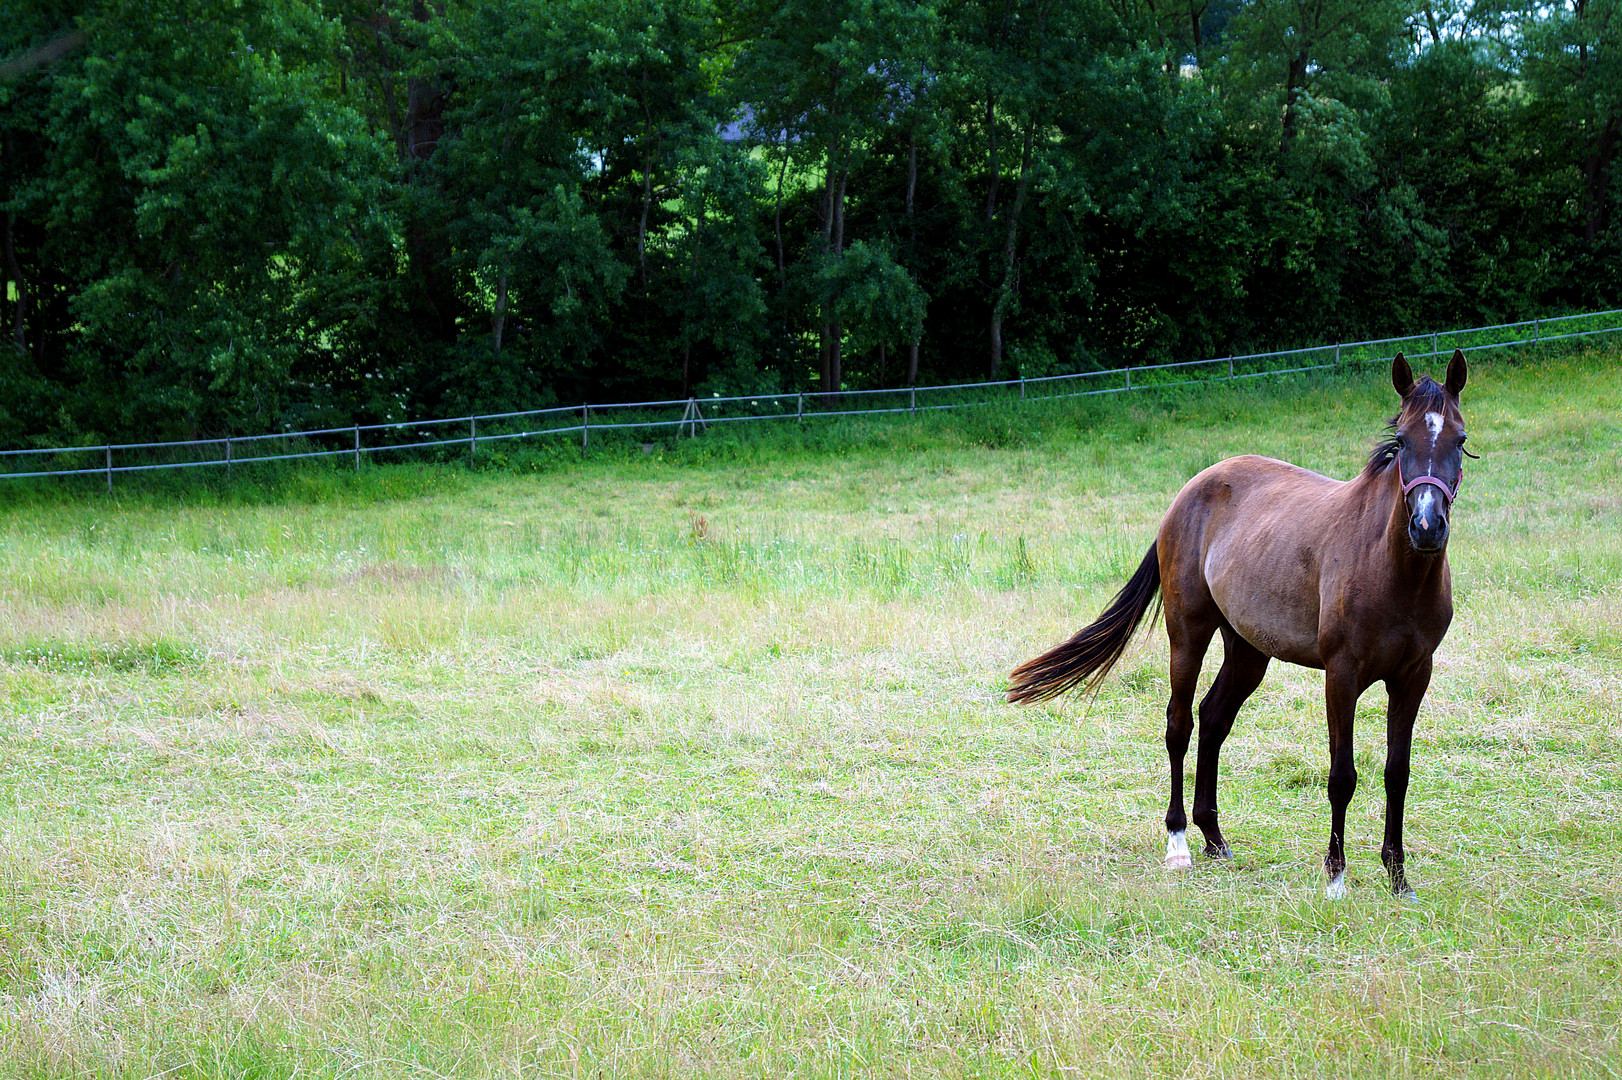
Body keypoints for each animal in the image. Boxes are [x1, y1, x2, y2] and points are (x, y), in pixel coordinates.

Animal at [1005, 351, 1479, 888]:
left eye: (1460, 439)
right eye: (1401, 441)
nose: (1427, 526)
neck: (1392, 570)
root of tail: (1188, 493)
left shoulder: (1413, 676)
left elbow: (1397, 774)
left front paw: (1398, 878)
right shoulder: (1342, 676)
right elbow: (1342, 776)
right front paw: (1335, 877)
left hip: (1248, 651)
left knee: (1213, 719)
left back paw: (1213, 836)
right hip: (1187, 634)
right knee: (1180, 725)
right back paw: (1178, 842)